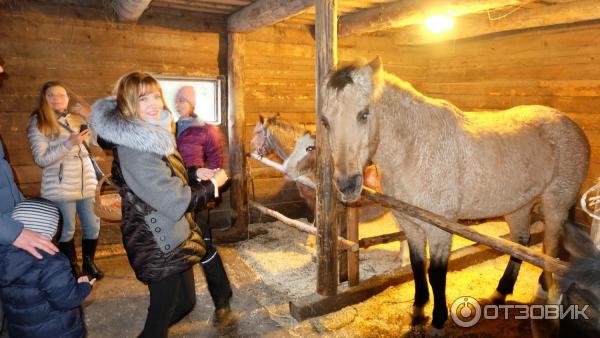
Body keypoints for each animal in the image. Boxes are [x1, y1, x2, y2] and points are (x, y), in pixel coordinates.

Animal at [322, 57, 588, 332]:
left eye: (364, 114)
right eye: (325, 121)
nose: (347, 185)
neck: (414, 150)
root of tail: (572, 125)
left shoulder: (440, 229)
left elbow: (437, 274)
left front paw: (438, 320)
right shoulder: (411, 226)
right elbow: (418, 266)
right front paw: (418, 310)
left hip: (555, 205)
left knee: (551, 248)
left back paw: (544, 293)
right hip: (518, 206)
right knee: (521, 242)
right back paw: (500, 293)